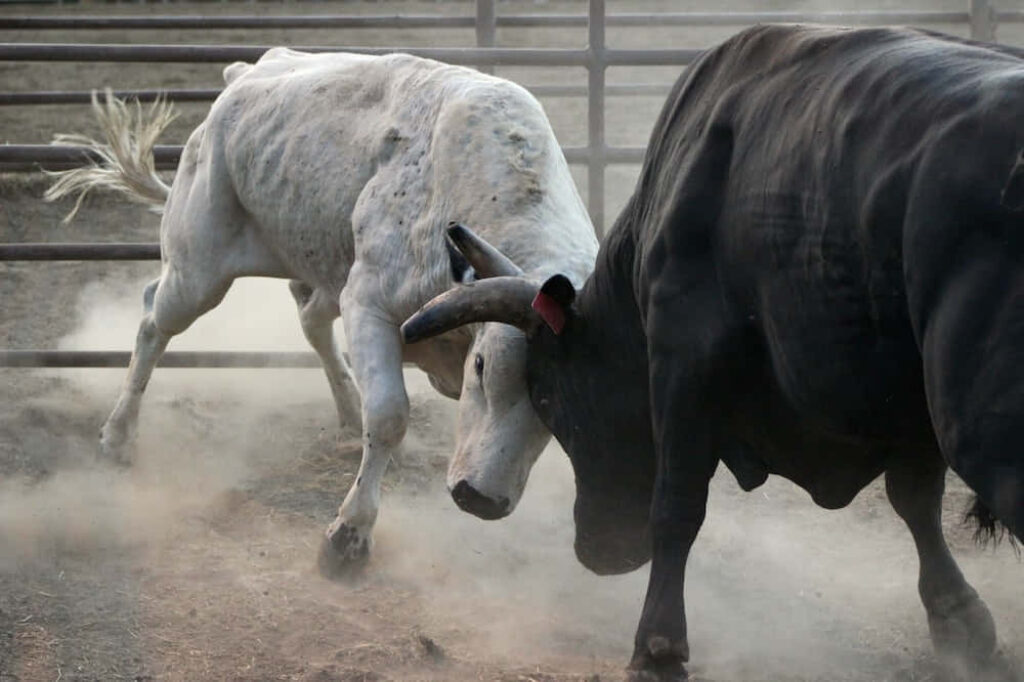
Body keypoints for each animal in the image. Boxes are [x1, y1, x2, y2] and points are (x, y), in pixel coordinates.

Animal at [45, 48, 597, 576]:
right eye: (481, 366)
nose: (479, 499)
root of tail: (245, 75)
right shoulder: (369, 305)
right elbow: (390, 416)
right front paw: (348, 536)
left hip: (321, 268)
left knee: (310, 321)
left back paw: (349, 412)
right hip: (196, 272)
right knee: (152, 321)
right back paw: (118, 435)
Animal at [401, 24, 1024, 680]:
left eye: (546, 399)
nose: (594, 549)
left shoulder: (684, 364)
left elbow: (677, 505)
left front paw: (657, 645)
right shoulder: (905, 405)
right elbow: (915, 500)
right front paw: (959, 620)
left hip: (981, 427)